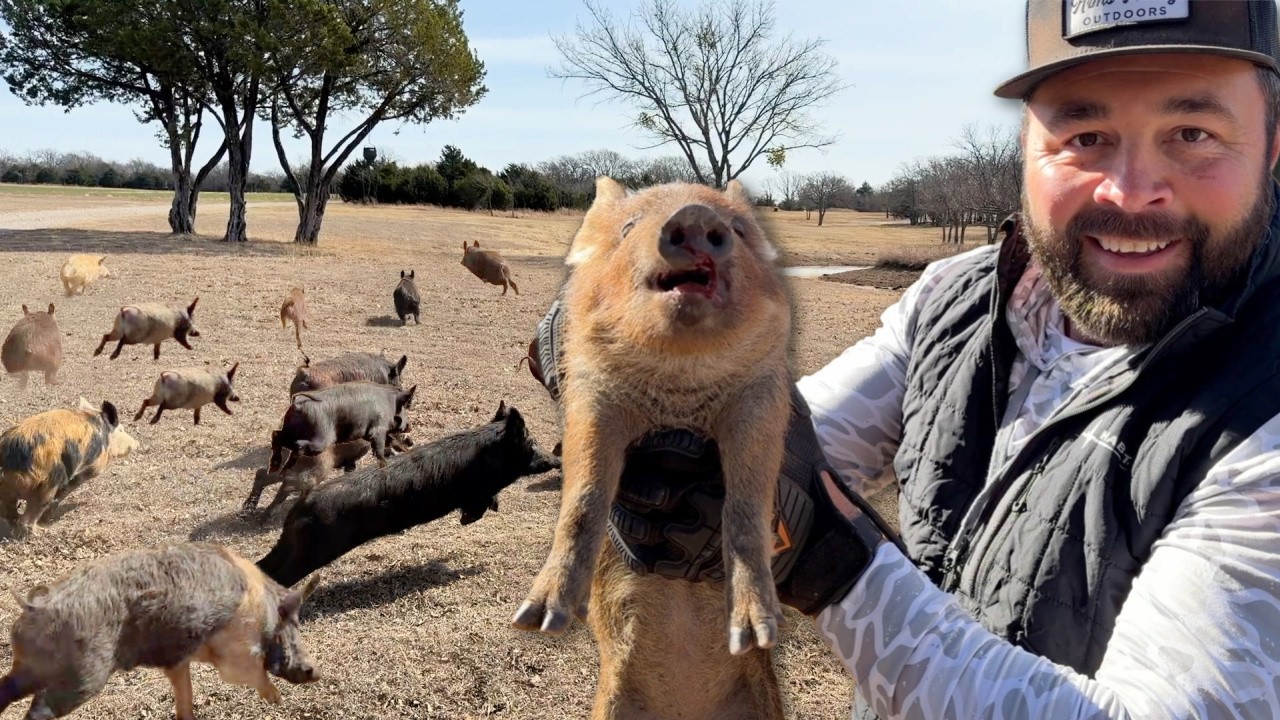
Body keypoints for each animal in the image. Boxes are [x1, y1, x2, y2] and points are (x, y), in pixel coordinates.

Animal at [0, 399, 139, 538]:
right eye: (121, 430)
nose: (136, 443)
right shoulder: (93, 466)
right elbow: (70, 486)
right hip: (48, 481)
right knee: (29, 515)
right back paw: (40, 531)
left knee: (10, 513)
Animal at [0, 542, 320, 719]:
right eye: (293, 623)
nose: (315, 671)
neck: (261, 607)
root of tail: (35, 607)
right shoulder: (235, 652)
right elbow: (251, 673)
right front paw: (277, 700)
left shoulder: (177, 661)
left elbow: (184, 697)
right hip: (83, 674)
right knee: (39, 708)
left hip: (30, 666)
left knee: (6, 688)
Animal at [240, 432, 416, 518]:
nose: (412, 442)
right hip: (315, 473)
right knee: (286, 488)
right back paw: (269, 512)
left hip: (282, 468)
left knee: (261, 475)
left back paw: (249, 507)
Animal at [268, 381, 416, 475]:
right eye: (404, 408)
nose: (410, 426)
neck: (389, 404)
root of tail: (298, 404)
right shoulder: (377, 429)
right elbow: (381, 449)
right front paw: (384, 466)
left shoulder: (367, 434)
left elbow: (393, 441)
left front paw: (407, 451)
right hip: (320, 440)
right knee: (297, 445)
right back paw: (281, 471)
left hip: (290, 430)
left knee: (276, 434)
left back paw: (275, 470)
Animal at [510, 178, 793, 720]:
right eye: (627, 227)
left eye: (740, 229)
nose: (696, 216)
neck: (677, 392)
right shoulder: (592, 394)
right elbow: (584, 494)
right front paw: (537, 620)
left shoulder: (763, 398)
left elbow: (746, 506)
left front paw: (755, 633)